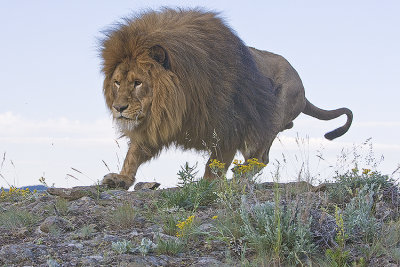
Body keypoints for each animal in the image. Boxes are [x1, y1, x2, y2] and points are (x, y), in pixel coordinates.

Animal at [100, 7, 354, 189]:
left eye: (138, 82)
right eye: (117, 82)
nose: (118, 108)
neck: (178, 101)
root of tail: (302, 88)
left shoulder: (231, 125)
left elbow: (215, 163)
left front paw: (208, 184)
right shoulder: (156, 124)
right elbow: (133, 155)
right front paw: (120, 178)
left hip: (272, 116)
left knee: (261, 157)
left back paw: (240, 176)